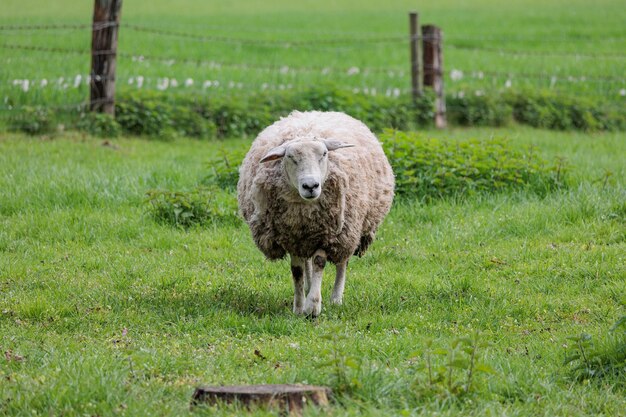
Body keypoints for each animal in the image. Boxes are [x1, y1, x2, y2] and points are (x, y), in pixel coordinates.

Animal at [236, 110, 392, 316]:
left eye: (324, 154)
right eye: (290, 157)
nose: (310, 186)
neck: (304, 211)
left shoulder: (328, 234)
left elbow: (319, 262)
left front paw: (313, 307)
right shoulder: (291, 237)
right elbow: (297, 271)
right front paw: (299, 307)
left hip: (348, 229)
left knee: (342, 262)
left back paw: (335, 298)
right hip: (309, 238)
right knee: (307, 263)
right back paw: (310, 288)